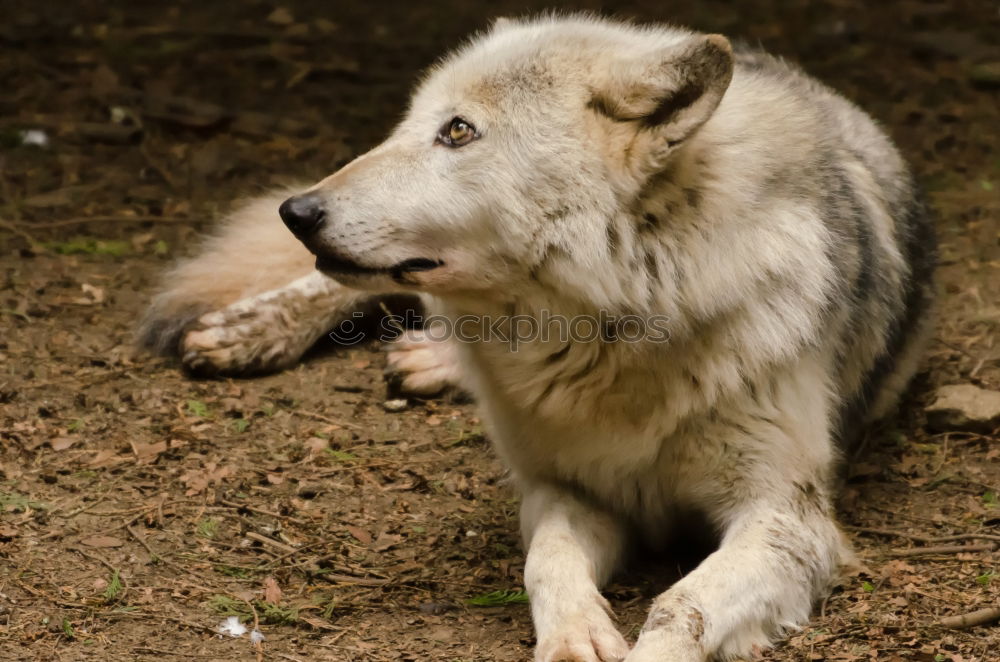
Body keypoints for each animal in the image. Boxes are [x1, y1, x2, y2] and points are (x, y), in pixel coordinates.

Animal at [141, 15, 936, 662]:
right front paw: (574, 637)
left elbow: (681, 607)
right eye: (406, 124)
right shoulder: (566, 489)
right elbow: (547, 564)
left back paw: (428, 358)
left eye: (458, 131)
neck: (615, 333)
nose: (296, 211)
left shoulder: (785, 517)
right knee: (354, 288)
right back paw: (250, 330)